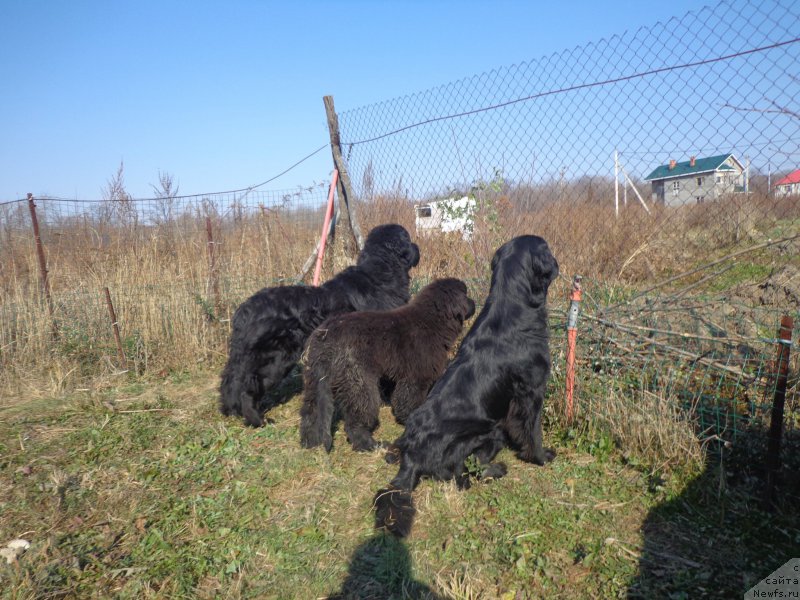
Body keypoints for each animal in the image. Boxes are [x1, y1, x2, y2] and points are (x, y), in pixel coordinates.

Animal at [217, 224, 418, 426]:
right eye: (408, 238)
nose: (417, 246)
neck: (380, 274)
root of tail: (244, 310)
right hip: (274, 361)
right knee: (247, 388)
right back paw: (257, 419)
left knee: (233, 383)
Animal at [298, 278, 476, 452]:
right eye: (466, 295)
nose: (474, 303)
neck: (432, 321)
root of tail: (327, 335)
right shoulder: (417, 376)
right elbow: (410, 400)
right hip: (359, 381)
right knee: (356, 419)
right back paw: (369, 444)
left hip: (315, 378)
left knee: (310, 412)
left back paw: (309, 442)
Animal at [374, 233, 556, 536]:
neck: (512, 306)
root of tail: (412, 455)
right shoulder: (532, 392)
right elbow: (534, 432)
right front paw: (542, 457)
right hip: (488, 432)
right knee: (463, 472)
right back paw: (497, 470)